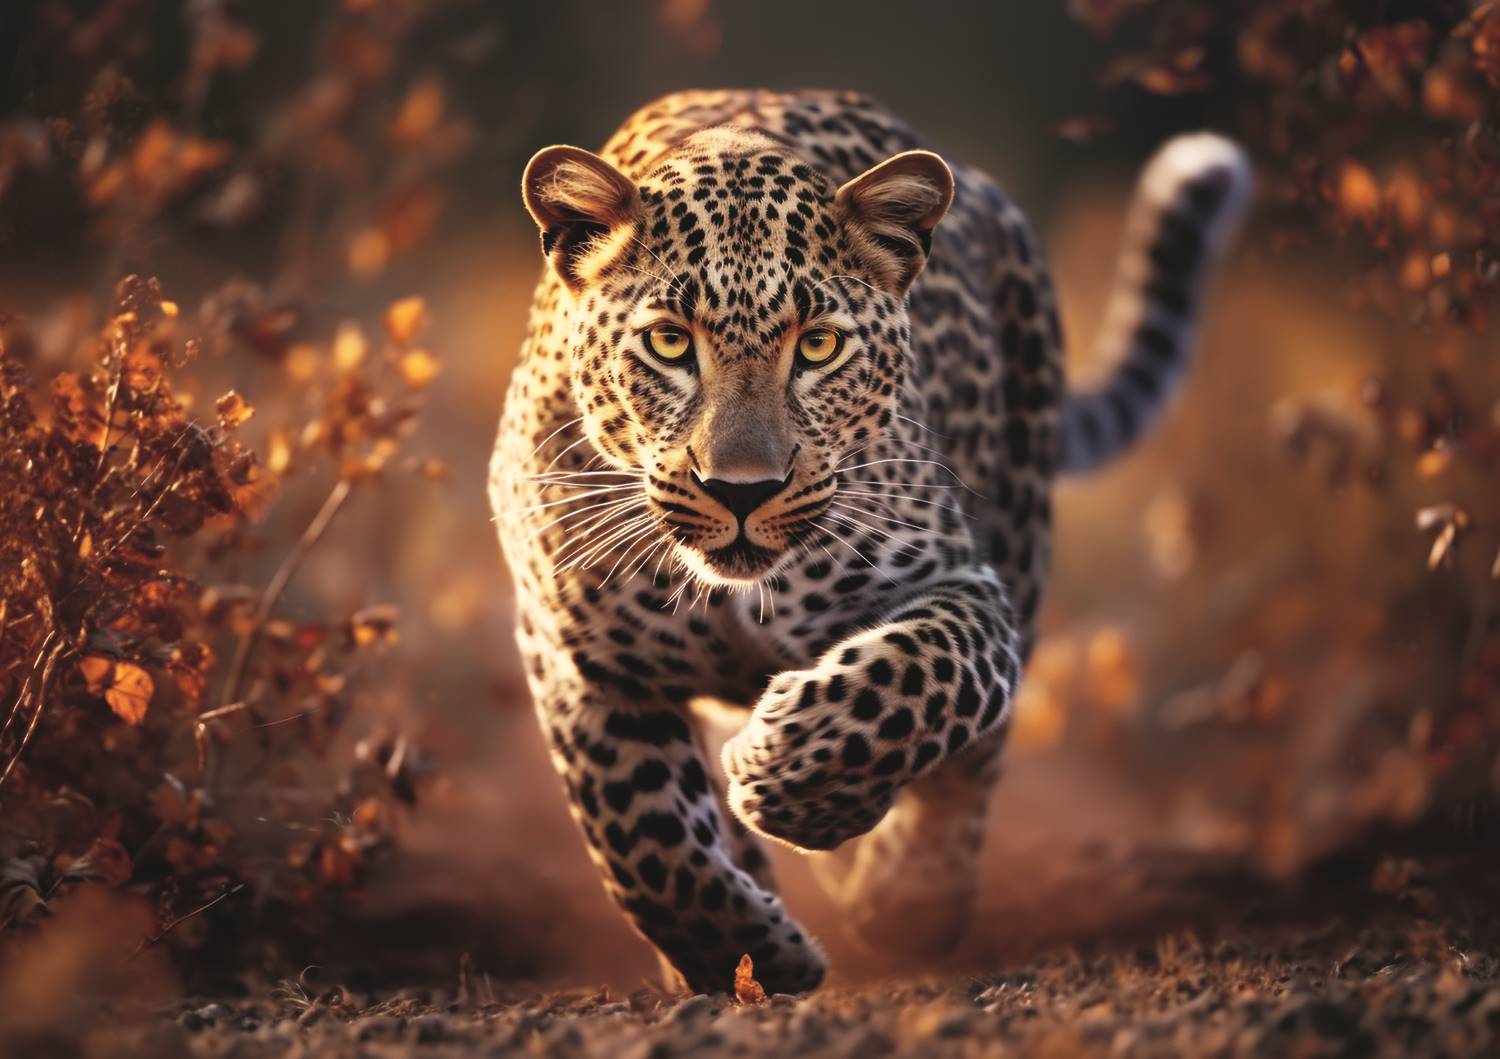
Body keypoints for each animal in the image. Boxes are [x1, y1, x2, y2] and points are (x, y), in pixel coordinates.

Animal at [488, 89, 1250, 995]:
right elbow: (641, 835)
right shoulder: (576, 656)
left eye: (818, 346)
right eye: (669, 341)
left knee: (972, 764)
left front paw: (792, 776)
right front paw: (745, 953)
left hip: (1022, 527)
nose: (741, 489)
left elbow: (918, 677)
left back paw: (909, 894)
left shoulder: (963, 583)